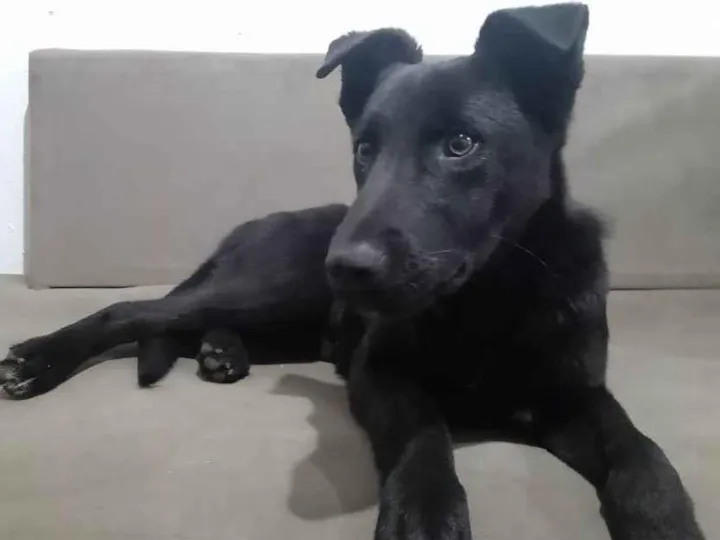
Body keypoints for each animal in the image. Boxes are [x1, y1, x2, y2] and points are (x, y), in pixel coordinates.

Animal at [0, 3, 706, 539]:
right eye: (365, 148)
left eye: (461, 144)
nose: (345, 267)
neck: (489, 296)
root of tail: (253, 226)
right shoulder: (381, 373)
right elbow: (425, 434)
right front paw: (425, 514)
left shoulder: (576, 395)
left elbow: (643, 454)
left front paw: (664, 520)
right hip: (270, 288)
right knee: (135, 310)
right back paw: (38, 359)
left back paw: (221, 353)